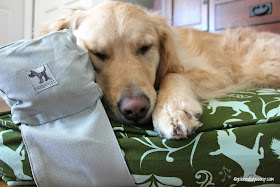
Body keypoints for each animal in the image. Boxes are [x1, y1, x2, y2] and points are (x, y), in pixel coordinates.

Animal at [40, 1, 280, 139]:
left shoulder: (216, 74)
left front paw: (172, 109)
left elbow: (173, 73)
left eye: (145, 47)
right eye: (96, 53)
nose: (135, 109)